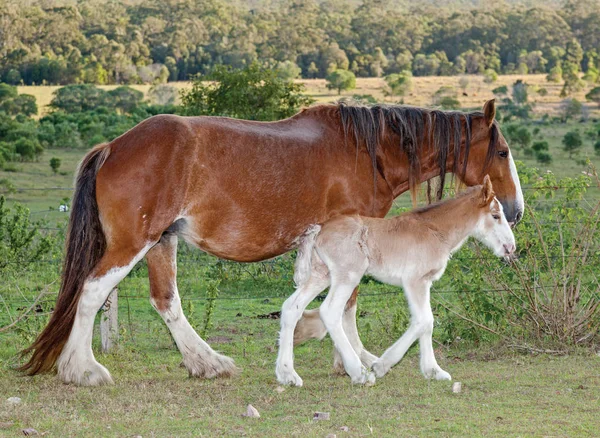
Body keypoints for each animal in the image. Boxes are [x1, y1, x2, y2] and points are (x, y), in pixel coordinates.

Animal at [21, 99, 524, 386]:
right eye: (501, 151)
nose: (516, 209)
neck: (367, 152)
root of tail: (113, 146)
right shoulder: (353, 242)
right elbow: (346, 306)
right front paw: (357, 361)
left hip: (161, 242)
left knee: (167, 302)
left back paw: (207, 363)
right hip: (133, 243)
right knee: (92, 292)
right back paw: (82, 370)